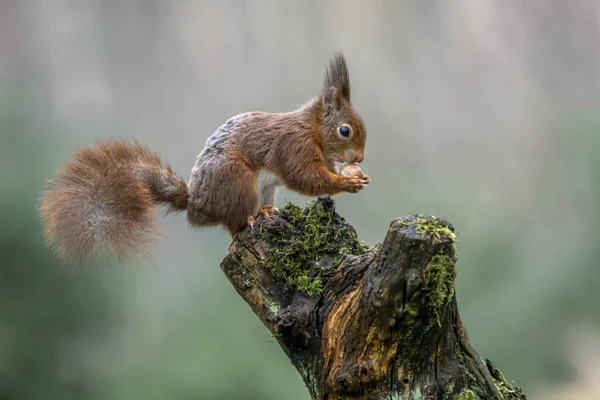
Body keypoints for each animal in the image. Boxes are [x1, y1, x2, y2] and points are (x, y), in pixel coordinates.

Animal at [39, 54, 368, 266]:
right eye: (345, 130)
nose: (360, 157)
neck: (313, 129)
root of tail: (196, 204)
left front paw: (353, 175)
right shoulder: (293, 146)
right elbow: (305, 177)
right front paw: (345, 183)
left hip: (261, 188)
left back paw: (266, 211)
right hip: (236, 179)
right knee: (235, 226)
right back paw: (252, 219)